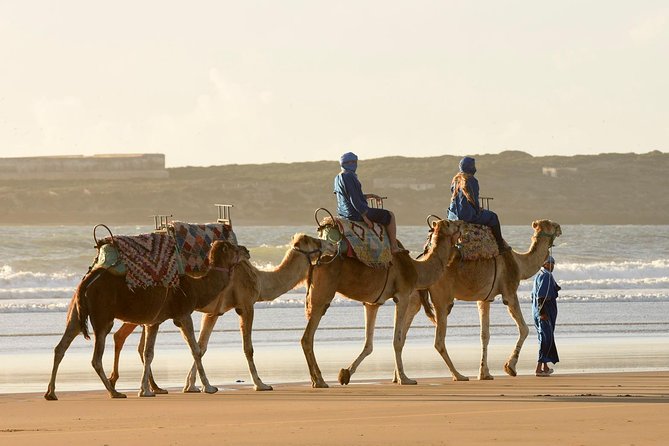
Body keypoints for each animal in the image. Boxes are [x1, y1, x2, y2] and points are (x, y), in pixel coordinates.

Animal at [44, 240, 248, 400]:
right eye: (231, 247)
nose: (246, 250)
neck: (196, 287)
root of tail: (87, 280)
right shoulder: (183, 314)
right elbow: (195, 350)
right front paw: (209, 387)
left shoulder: (154, 320)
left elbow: (148, 352)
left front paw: (146, 391)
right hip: (103, 316)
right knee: (96, 357)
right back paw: (114, 392)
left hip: (76, 313)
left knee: (60, 347)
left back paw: (51, 393)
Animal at [111, 235, 340, 392]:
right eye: (312, 240)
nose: (332, 245)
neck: (259, 279)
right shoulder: (246, 305)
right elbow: (248, 348)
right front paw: (260, 384)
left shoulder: (213, 313)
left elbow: (201, 347)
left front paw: (191, 386)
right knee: (123, 337)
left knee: (129, 340)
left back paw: (148, 387)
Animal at [302, 217, 462, 386]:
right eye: (450, 223)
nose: (461, 224)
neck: (417, 269)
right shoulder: (403, 295)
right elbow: (397, 340)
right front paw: (404, 378)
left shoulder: (373, 303)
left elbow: (368, 345)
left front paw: (345, 374)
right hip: (322, 295)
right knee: (307, 337)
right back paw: (319, 381)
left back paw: (317, 380)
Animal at [340, 218, 560, 382]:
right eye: (549, 224)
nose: (559, 227)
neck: (520, 264)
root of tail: (421, 258)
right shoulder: (509, 291)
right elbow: (524, 329)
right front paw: (510, 367)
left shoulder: (484, 299)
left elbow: (485, 335)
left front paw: (485, 373)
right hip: (441, 297)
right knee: (437, 339)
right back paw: (456, 375)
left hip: (414, 297)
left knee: (403, 332)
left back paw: (398, 377)